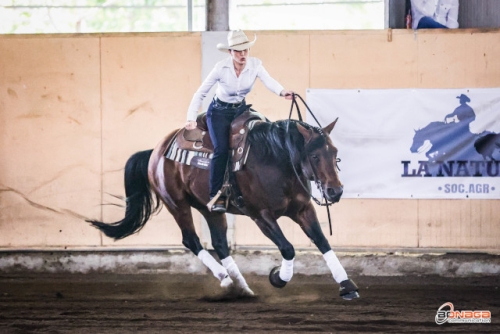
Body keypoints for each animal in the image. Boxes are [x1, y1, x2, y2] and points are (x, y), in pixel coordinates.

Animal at [90, 117, 360, 300]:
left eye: (334, 152)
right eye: (314, 156)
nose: (336, 191)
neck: (275, 161)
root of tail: (156, 151)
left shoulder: (302, 209)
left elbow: (322, 242)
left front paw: (347, 286)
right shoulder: (260, 216)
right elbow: (288, 248)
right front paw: (277, 278)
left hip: (209, 209)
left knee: (220, 243)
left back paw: (242, 288)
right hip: (176, 203)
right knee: (191, 240)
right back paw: (226, 280)